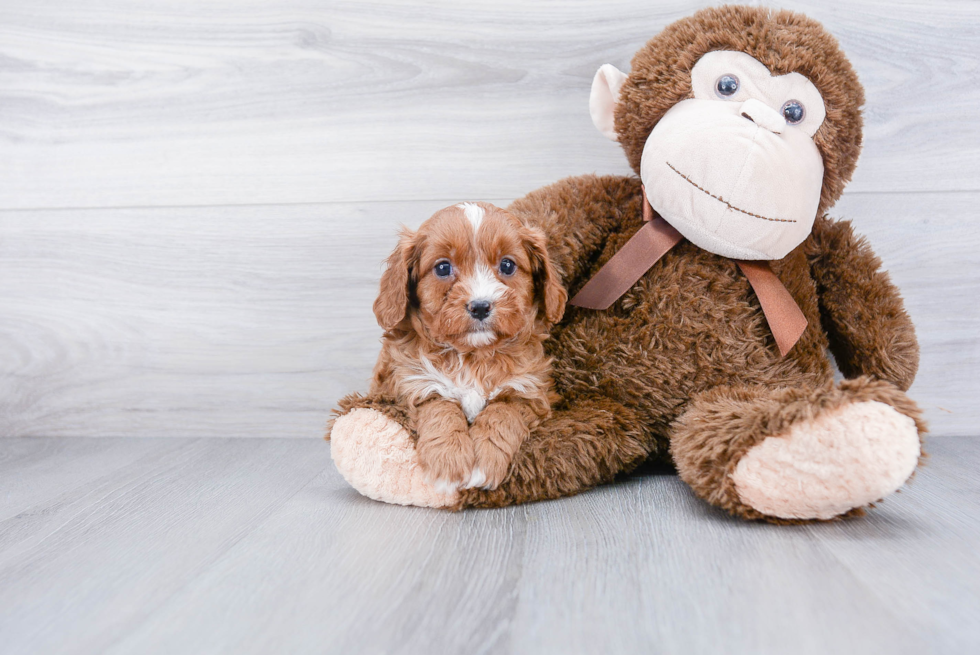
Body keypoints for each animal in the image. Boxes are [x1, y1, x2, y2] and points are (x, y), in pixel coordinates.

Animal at [368, 202, 568, 490]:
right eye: (442, 268)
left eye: (507, 265)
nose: (481, 306)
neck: (474, 356)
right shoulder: (413, 387)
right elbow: (442, 411)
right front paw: (448, 463)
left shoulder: (530, 393)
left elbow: (502, 413)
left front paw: (485, 461)